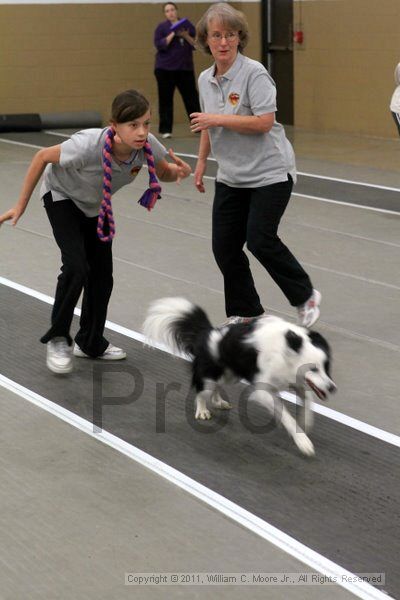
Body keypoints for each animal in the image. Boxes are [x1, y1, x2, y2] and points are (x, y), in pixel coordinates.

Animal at [144, 298, 334, 458]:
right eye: (313, 369)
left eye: (327, 367)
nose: (332, 388)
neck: (285, 350)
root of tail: (206, 334)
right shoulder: (263, 391)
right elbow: (286, 415)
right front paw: (303, 442)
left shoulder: (295, 380)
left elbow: (307, 399)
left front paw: (306, 422)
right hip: (211, 375)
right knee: (201, 391)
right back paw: (202, 411)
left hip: (230, 374)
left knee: (217, 386)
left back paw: (219, 402)